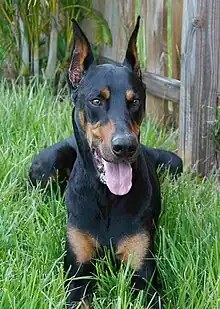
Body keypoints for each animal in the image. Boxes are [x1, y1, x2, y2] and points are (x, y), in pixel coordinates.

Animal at [28, 16, 182, 308]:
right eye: (97, 100)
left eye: (136, 101)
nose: (125, 146)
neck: (107, 197)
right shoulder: (79, 270)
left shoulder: (143, 270)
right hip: (47, 165)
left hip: (174, 163)